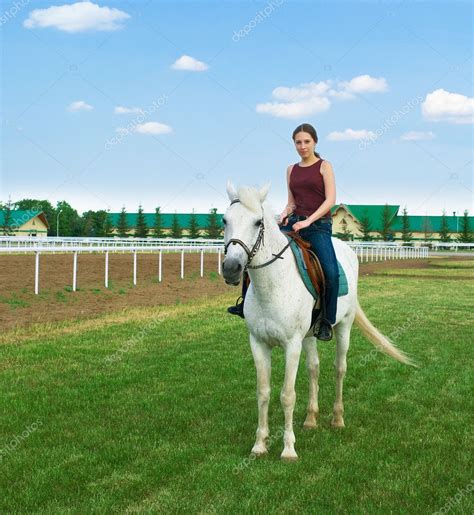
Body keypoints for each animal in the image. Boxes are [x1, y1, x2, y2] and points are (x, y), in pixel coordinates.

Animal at [222, 183, 414, 462]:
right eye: (225, 220)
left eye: (258, 222)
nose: (231, 268)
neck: (273, 284)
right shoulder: (258, 343)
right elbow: (263, 392)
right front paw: (259, 445)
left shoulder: (291, 345)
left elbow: (287, 395)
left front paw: (288, 449)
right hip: (310, 335)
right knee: (314, 368)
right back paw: (311, 419)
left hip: (343, 328)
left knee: (339, 368)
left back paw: (337, 419)